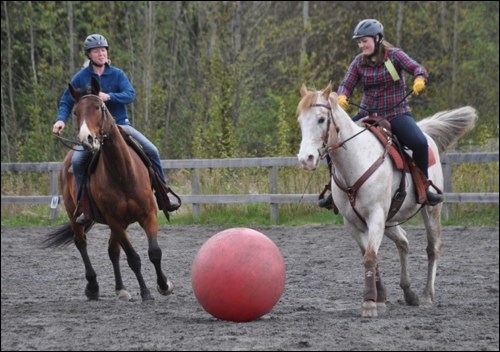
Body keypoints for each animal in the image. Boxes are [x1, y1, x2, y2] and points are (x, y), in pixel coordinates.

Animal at [45, 77, 174, 302]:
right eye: (75, 112)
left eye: (98, 106)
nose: (87, 139)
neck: (123, 173)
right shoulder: (114, 221)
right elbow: (133, 258)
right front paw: (146, 292)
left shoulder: (148, 214)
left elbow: (154, 252)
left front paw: (164, 285)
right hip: (76, 216)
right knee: (81, 244)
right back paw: (93, 287)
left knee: (112, 251)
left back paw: (120, 288)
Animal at [296, 82, 476, 316]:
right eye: (300, 121)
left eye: (321, 119)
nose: (305, 159)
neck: (356, 161)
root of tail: (425, 134)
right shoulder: (353, 223)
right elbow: (371, 256)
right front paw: (379, 297)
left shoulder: (376, 217)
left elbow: (371, 256)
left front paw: (369, 303)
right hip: (390, 220)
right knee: (404, 242)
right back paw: (409, 293)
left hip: (430, 210)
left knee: (432, 248)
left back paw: (427, 295)